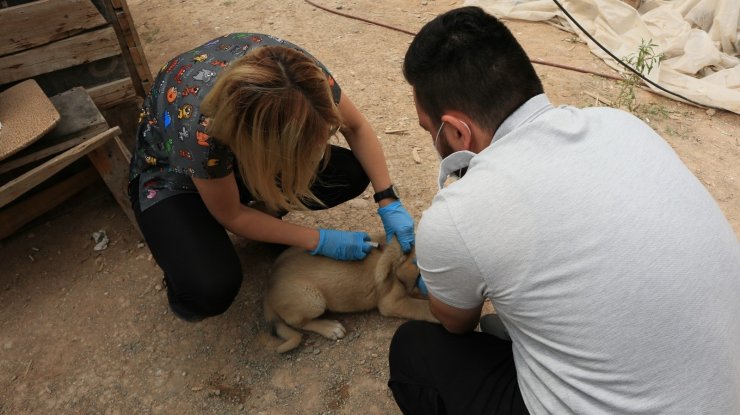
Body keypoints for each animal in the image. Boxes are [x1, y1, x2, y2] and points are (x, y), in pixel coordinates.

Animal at [264, 232, 436, 352]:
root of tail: (269, 287)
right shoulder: (391, 303)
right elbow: (423, 308)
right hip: (312, 300)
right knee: (300, 323)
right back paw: (330, 328)